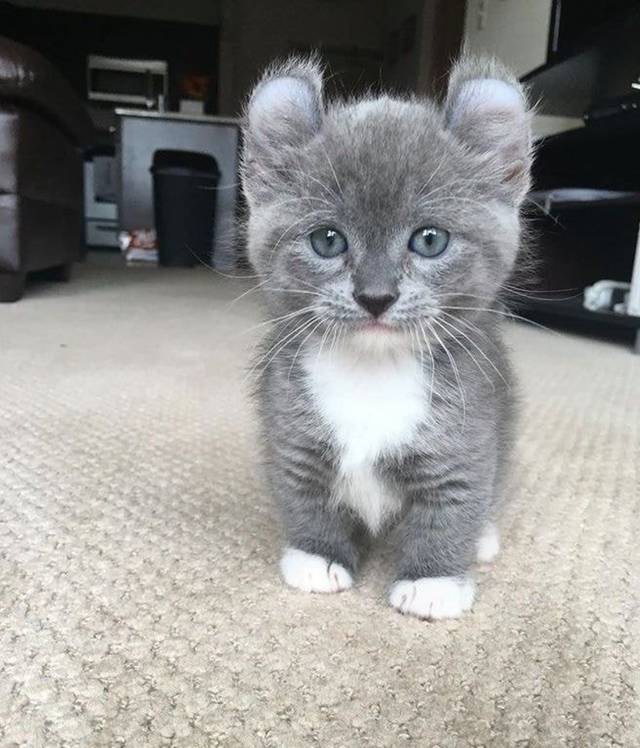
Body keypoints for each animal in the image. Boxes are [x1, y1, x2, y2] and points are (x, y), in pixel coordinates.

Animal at [240, 54, 528, 620]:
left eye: (430, 240)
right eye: (327, 240)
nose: (376, 295)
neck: (371, 370)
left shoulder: (465, 437)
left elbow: (455, 504)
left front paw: (434, 582)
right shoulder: (291, 427)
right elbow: (303, 493)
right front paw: (317, 557)